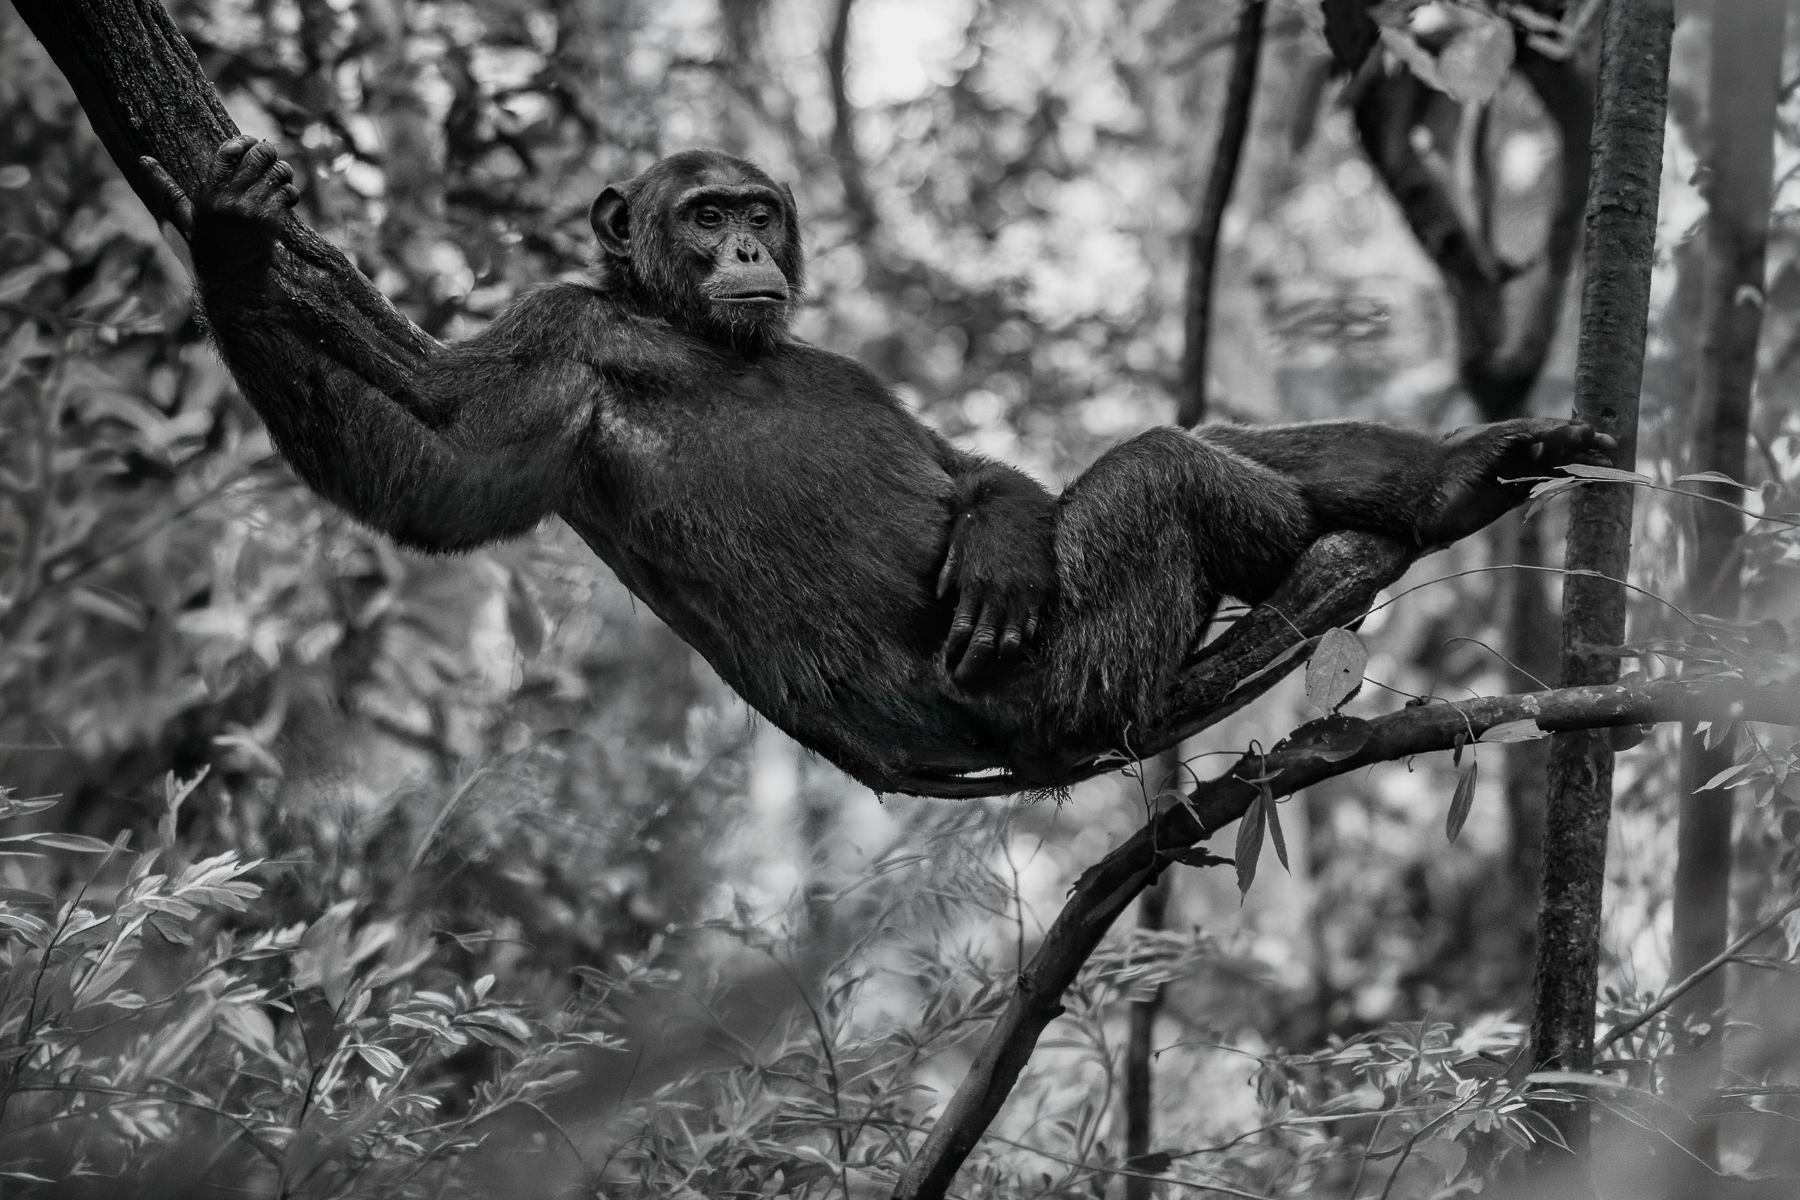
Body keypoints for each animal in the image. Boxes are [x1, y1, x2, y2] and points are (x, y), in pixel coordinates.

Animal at [141, 139, 1614, 794]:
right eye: (703, 213)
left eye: (756, 208)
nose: (747, 246)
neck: (691, 330)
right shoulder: (551, 347)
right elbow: (430, 471)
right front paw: (229, 245)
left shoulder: (849, 368)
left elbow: (967, 473)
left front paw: (999, 546)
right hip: (1072, 686)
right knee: (1164, 474)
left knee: (1209, 453)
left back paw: (1467, 477)